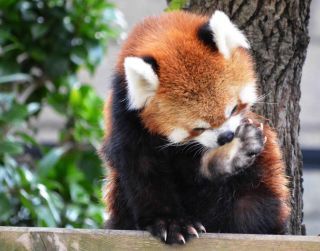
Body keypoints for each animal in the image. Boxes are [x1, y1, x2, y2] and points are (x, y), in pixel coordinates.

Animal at [100, 10, 290, 244]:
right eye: (197, 128)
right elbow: (143, 173)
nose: (226, 137)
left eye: (233, 109)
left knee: (253, 206)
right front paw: (169, 222)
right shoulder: (125, 117)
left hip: (258, 183)